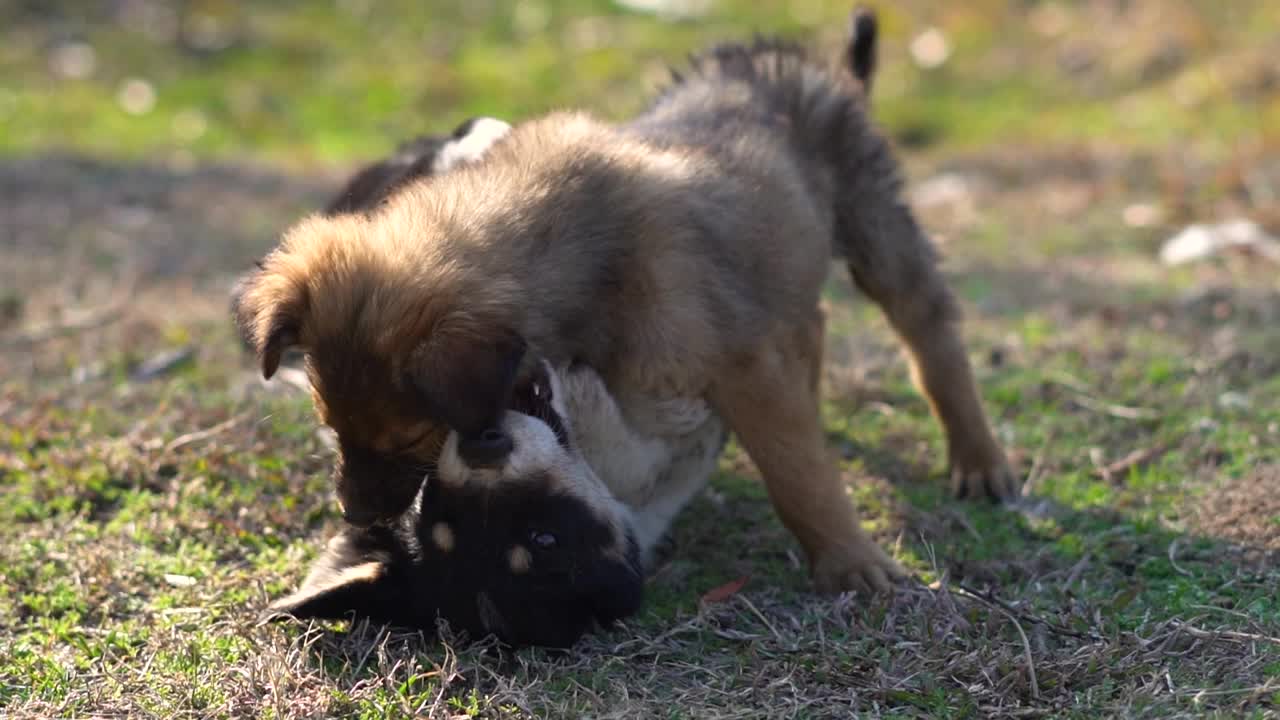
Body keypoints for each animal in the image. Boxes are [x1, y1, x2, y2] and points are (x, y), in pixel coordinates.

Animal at [235, 8, 1013, 597]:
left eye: (410, 438)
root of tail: (804, 65)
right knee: (812, 320)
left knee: (930, 332)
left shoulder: (742, 367)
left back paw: (978, 459)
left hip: (875, 222)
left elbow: (797, 474)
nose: (355, 515)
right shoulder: (742, 352)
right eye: (330, 424)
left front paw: (850, 562)